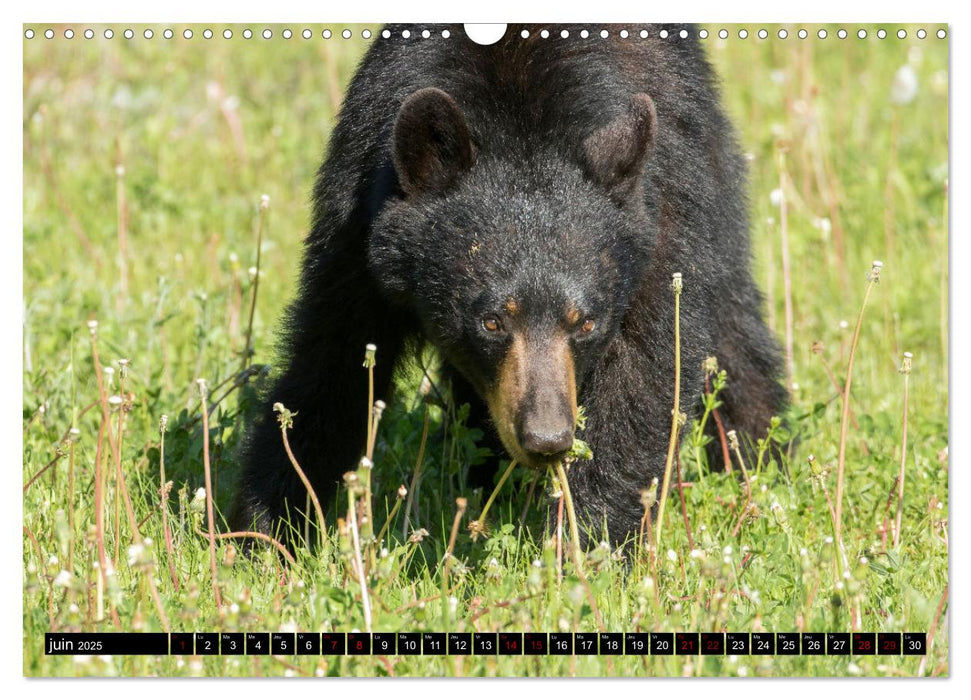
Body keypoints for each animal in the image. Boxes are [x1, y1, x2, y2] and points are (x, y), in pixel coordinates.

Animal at [235, 21, 788, 548]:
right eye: (492, 321)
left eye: (585, 323)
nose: (547, 439)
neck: (524, 121)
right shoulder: (360, 219)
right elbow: (333, 357)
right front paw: (267, 529)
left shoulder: (657, 223)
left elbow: (644, 371)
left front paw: (589, 544)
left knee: (734, 327)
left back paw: (758, 458)